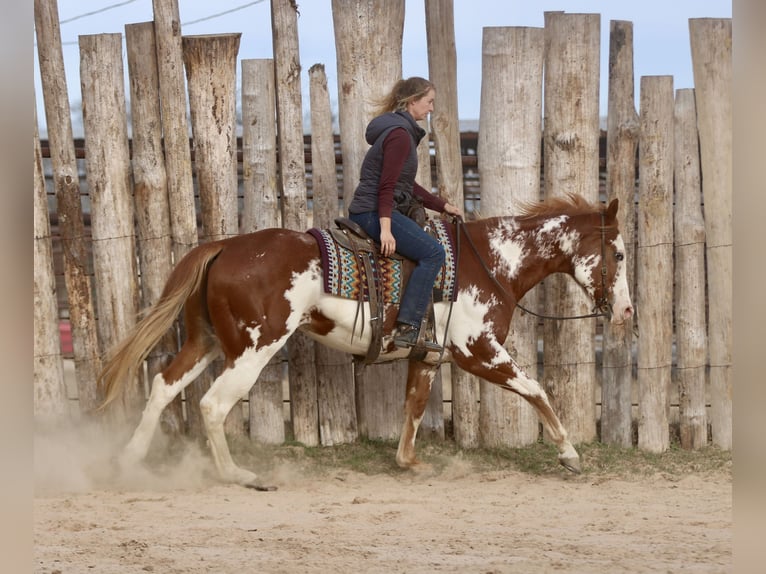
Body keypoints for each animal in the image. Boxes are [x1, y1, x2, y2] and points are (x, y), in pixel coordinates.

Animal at [99, 194, 633, 486]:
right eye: (620, 253)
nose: (627, 311)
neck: (490, 262)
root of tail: (224, 246)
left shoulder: (428, 357)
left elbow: (414, 406)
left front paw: (408, 462)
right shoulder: (477, 351)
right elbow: (537, 390)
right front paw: (569, 455)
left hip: (207, 340)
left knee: (164, 386)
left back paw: (129, 460)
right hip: (253, 348)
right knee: (212, 403)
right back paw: (238, 475)